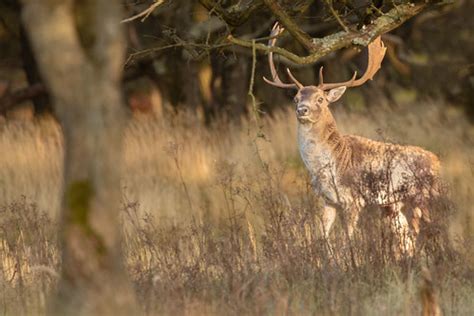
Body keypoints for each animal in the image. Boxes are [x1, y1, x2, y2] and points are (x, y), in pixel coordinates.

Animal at [264, 22, 442, 254]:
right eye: (295, 98)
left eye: (320, 99)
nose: (302, 109)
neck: (330, 165)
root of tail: (437, 162)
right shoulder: (327, 200)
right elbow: (322, 237)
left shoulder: (353, 199)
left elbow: (348, 240)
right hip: (392, 206)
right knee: (407, 239)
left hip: (422, 196)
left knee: (432, 232)